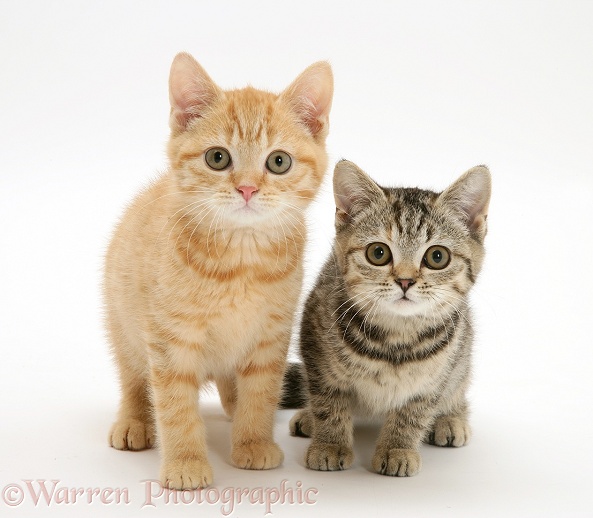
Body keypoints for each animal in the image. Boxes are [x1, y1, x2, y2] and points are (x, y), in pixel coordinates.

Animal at [102, 53, 332, 492]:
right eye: (217, 158)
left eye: (279, 162)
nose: (247, 189)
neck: (240, 262)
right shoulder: (170, 337)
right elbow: (175, 405)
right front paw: (186, 462)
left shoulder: (270, 336)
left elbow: (261, 392)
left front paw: (253, 441)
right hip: (123, 324)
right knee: (133, 379)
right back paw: (134, 421)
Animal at [284, 160, 488, 478]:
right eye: (378, 253)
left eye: (437, 257)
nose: (405, 280)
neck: (395, 339)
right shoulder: (316, 352)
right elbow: (328, 403)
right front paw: (329, 444)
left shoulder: (432, 381)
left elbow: (412, 414)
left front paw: (397, 449)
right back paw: (308, 417)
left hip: (462, 355)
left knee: (458, 385)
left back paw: (452, 418)